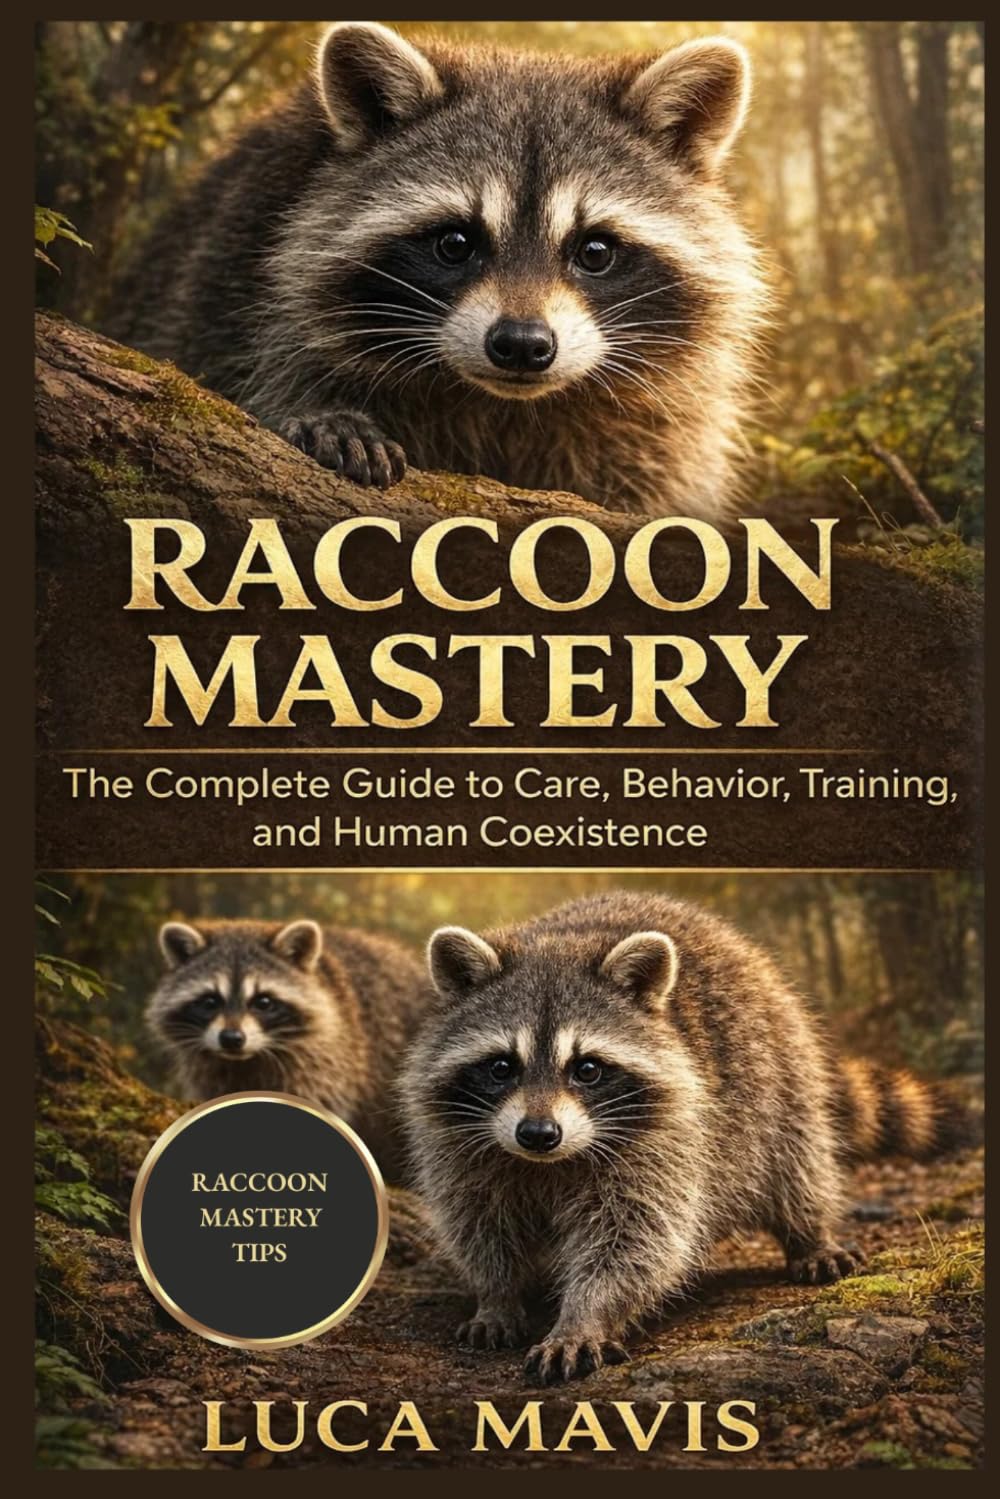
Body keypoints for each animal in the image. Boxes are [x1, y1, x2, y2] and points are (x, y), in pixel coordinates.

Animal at [109, 22, 768, 519]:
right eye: (455, 243)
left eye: (595, 252)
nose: (522, 345)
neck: (500, 404)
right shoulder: (236, 277)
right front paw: (325, 416)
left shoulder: (665, 416)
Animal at [147, 917, 424, 1181]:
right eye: (209, 1001)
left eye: (263, 1002)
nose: (231, 1038)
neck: (247, 1060)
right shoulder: (211, 1071)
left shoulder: (332, 1059)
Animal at [401, 892, 970, 1383]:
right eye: (502, 1067)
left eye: (587, 1069)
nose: (538, 1134)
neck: (549, 1164)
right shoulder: (458, 1143)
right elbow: (479, 1222)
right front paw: (497, 1294)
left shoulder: (667, 1139)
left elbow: (634, 1239)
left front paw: (584, 1315)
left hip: (782, 1074)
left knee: (798, 1164)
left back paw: (810, 1233)